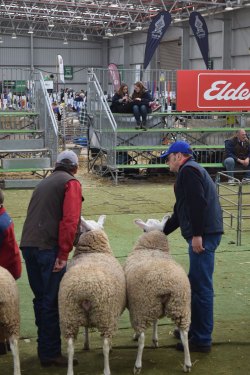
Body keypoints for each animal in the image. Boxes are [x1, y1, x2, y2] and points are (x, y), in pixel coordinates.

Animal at [57, 216, 126, 375]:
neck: (94, 252)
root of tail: (85, 289)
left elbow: (86, 328)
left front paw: (86, 344)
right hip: (105, 315)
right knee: (105, 344)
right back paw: (107, 368)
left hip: (70, 315)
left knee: (70, 347)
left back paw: (70, 369)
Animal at [123, 219, 191, 374]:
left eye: (144, 230)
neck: (152, 248)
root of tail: (165, 283)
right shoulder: (154, 306)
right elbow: (155, 321)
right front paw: (155, 339)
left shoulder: (136, 305)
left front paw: (137, 336)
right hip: (180, 306)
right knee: (184, 335)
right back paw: (187, 364)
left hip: (143, 306)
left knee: (142, 338)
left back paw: (137, 365)